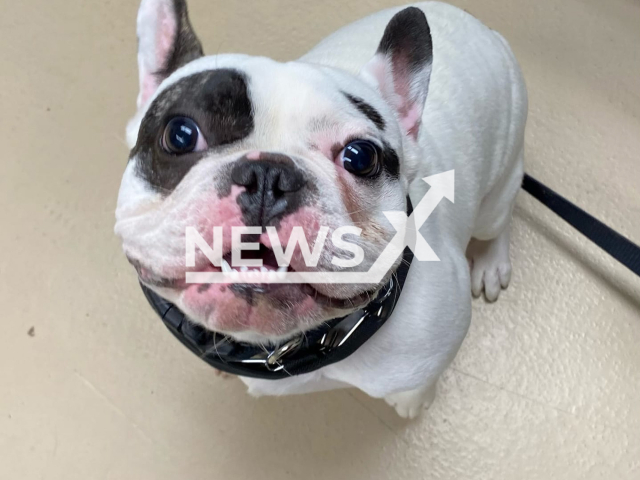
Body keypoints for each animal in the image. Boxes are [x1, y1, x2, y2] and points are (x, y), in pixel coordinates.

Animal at [115, 0, 524, 416]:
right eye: (180, 134)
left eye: (361, 157)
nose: (268, 175)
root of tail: (477, 23)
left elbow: (421, 383)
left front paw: (413, 401)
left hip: (499, 186)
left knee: (500, 218)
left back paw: (491, 264)